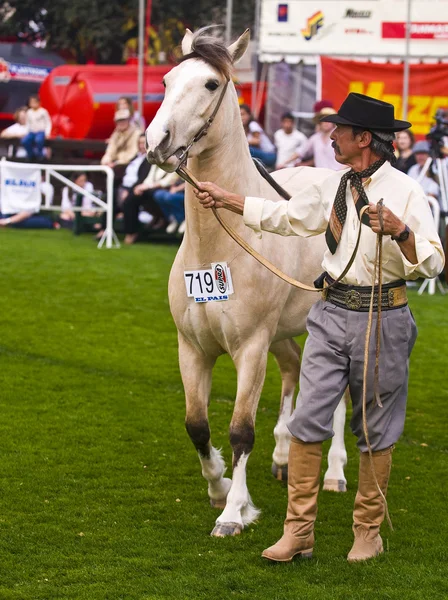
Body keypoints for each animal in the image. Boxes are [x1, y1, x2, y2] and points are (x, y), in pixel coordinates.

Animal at [145, 28, 348, 536]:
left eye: (211, 84)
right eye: (167, 79)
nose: (156, 141)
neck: (219, 245)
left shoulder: (251, 347)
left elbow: (240, 430)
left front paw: (234, 511)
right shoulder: (192, 348)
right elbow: (196, 424)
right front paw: (217, 486)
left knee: (341, 400)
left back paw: (335, 472)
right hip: (285, 332)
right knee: (294, 370)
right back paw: (283, 457)